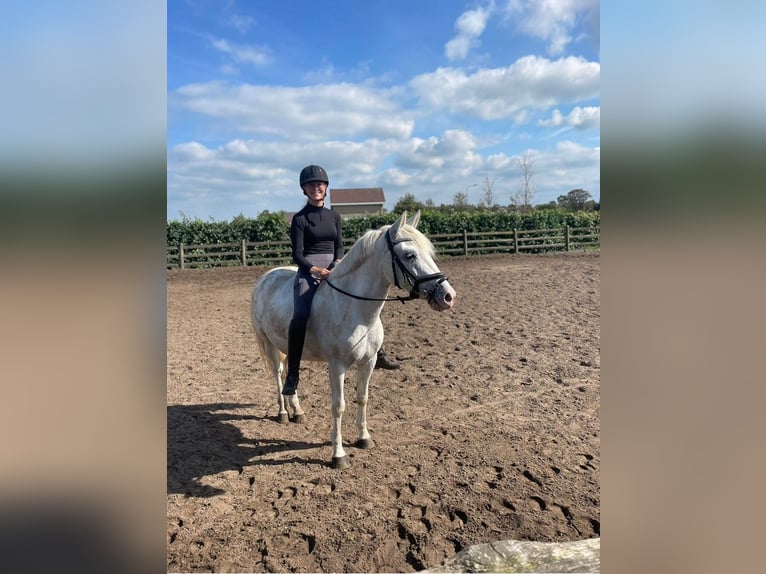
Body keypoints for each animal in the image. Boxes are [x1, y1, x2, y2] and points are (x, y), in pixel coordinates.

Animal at [252, 212, 456, 468]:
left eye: (429, 253)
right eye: (410, 255)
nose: (448, 296)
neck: (354, 308)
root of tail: (266, 277)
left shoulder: (368, 362)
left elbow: (362, 397)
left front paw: (364, 438)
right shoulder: (337, 366)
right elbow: (339, 407)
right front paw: (338, 455)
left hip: (289, 346)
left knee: (291, 372)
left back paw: (297, 411)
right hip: (269, 344)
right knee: (278, 375)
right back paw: (282, 414)